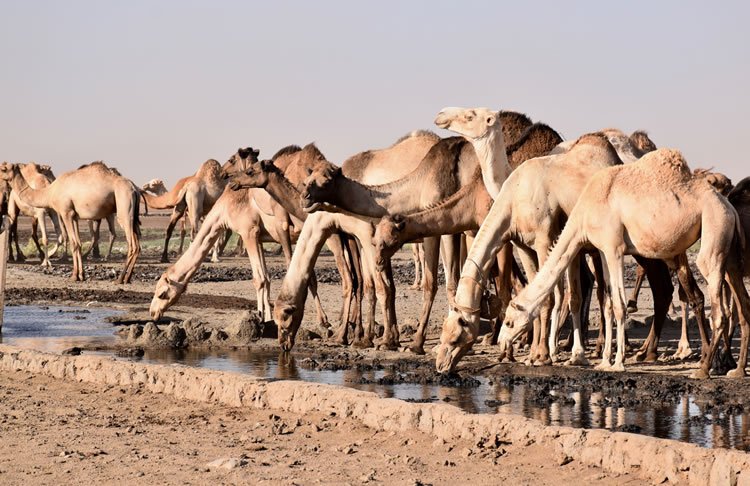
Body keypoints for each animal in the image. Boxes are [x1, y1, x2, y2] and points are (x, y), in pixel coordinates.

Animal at [0, 161, 142, 282]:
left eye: (4, 169)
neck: (49, 191)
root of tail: (134, 188)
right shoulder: (74, 216)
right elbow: (78, 243)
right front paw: (81, 275)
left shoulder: (66, 212)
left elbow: (73, 243)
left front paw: (73, 276)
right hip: (133, 216)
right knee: (137, 245)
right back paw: (127, 278)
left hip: (124, 207)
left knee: (132, 244)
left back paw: (120, 279)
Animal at [496, 150, 748, 378]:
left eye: (508, 322)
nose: (500, 343)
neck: (584, 212)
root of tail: (729, 208)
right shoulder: (603, 249)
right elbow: (608, 303)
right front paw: (604, 361)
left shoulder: (614, 247)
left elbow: (618, 304)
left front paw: (617, 363)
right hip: (727, 247)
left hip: (714, 227)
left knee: (718, 308)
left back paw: (704, 369)